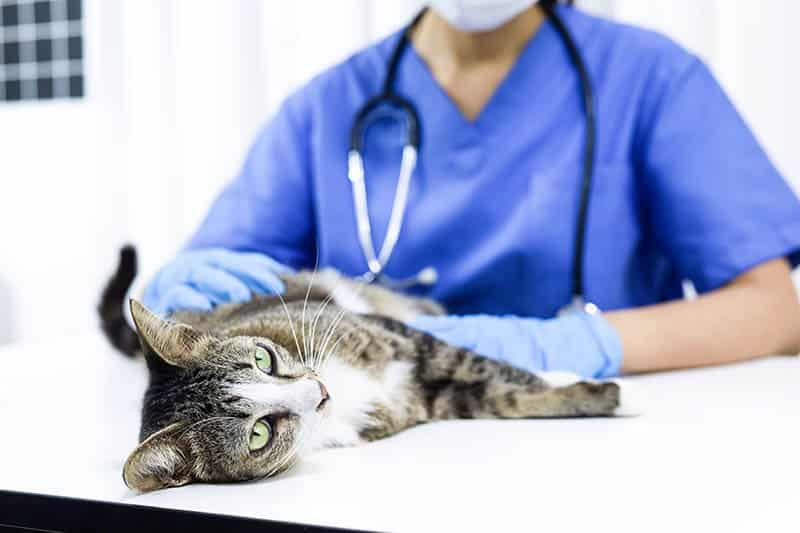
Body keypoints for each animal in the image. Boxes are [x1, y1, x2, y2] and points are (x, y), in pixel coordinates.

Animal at [100, 245, 636, 490]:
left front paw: (576, 381)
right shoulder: (421, 399)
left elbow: (495, 368)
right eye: (259, 434)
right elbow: (503, 398)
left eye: (263, 358)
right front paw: (602, 396)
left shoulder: (404, 339)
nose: (318, 392)